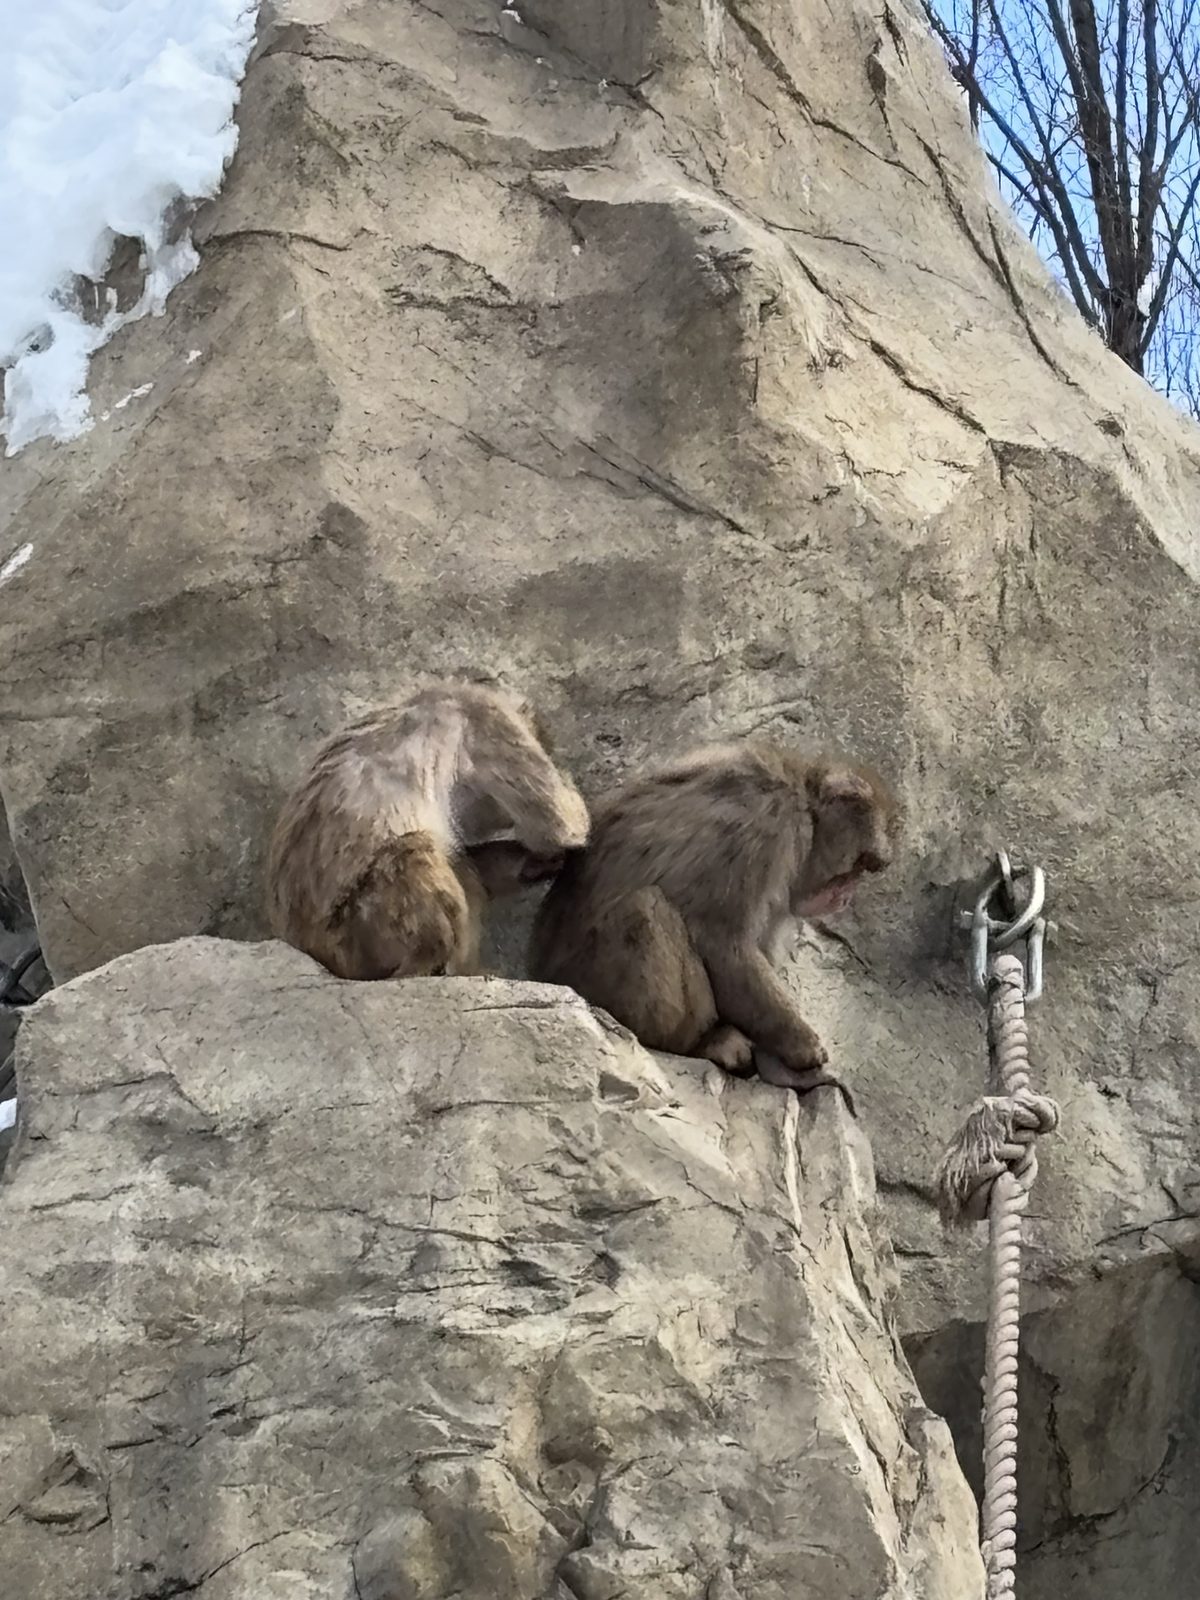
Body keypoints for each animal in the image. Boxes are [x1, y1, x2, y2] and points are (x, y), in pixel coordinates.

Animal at [266, 682, 589, 980]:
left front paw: (536, 864)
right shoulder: (489, 722)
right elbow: (557, 822)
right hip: (358, 935)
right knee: (416, 850)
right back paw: (429, 963)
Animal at [528, 741, 899, 1105]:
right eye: (859, 865)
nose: (846, 898)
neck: (805, 806)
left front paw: (779, 1066)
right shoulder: (766, 827)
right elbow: (723, 943)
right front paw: (803, 1049)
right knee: (645, 908)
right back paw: (698, 1042)